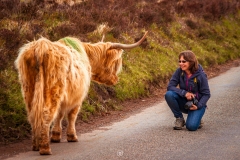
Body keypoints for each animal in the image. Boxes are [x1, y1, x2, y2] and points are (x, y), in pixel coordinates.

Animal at [14, 31, 148, 155]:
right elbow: (71, 115)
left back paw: (36, 145)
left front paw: (56, 135)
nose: (116, 79)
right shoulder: (78, 96)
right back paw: (45, 148)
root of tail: (41, 46)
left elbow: (60, 114)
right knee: (46, 113)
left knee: (33, 114)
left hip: (29, 90)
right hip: (53, 90)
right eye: (116, 63)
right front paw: (71, 136)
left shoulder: (65, 97)